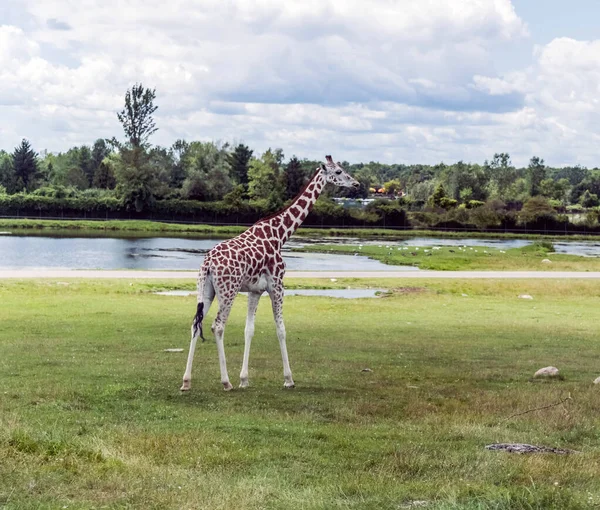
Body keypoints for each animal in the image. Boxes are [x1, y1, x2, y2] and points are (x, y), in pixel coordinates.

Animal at [178, 155, 356, 390]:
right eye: (338, 172)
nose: (356, 184)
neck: (280, 234)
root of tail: (207, 264)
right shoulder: (277, 286)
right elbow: (281, 329)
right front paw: (288, 379)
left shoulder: (255, 290)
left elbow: (249, 330)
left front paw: (244, 379)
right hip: (228, 291)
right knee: (217, 326)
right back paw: (225, 382)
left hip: (206, 291)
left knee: (195, 325)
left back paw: (186, 381)